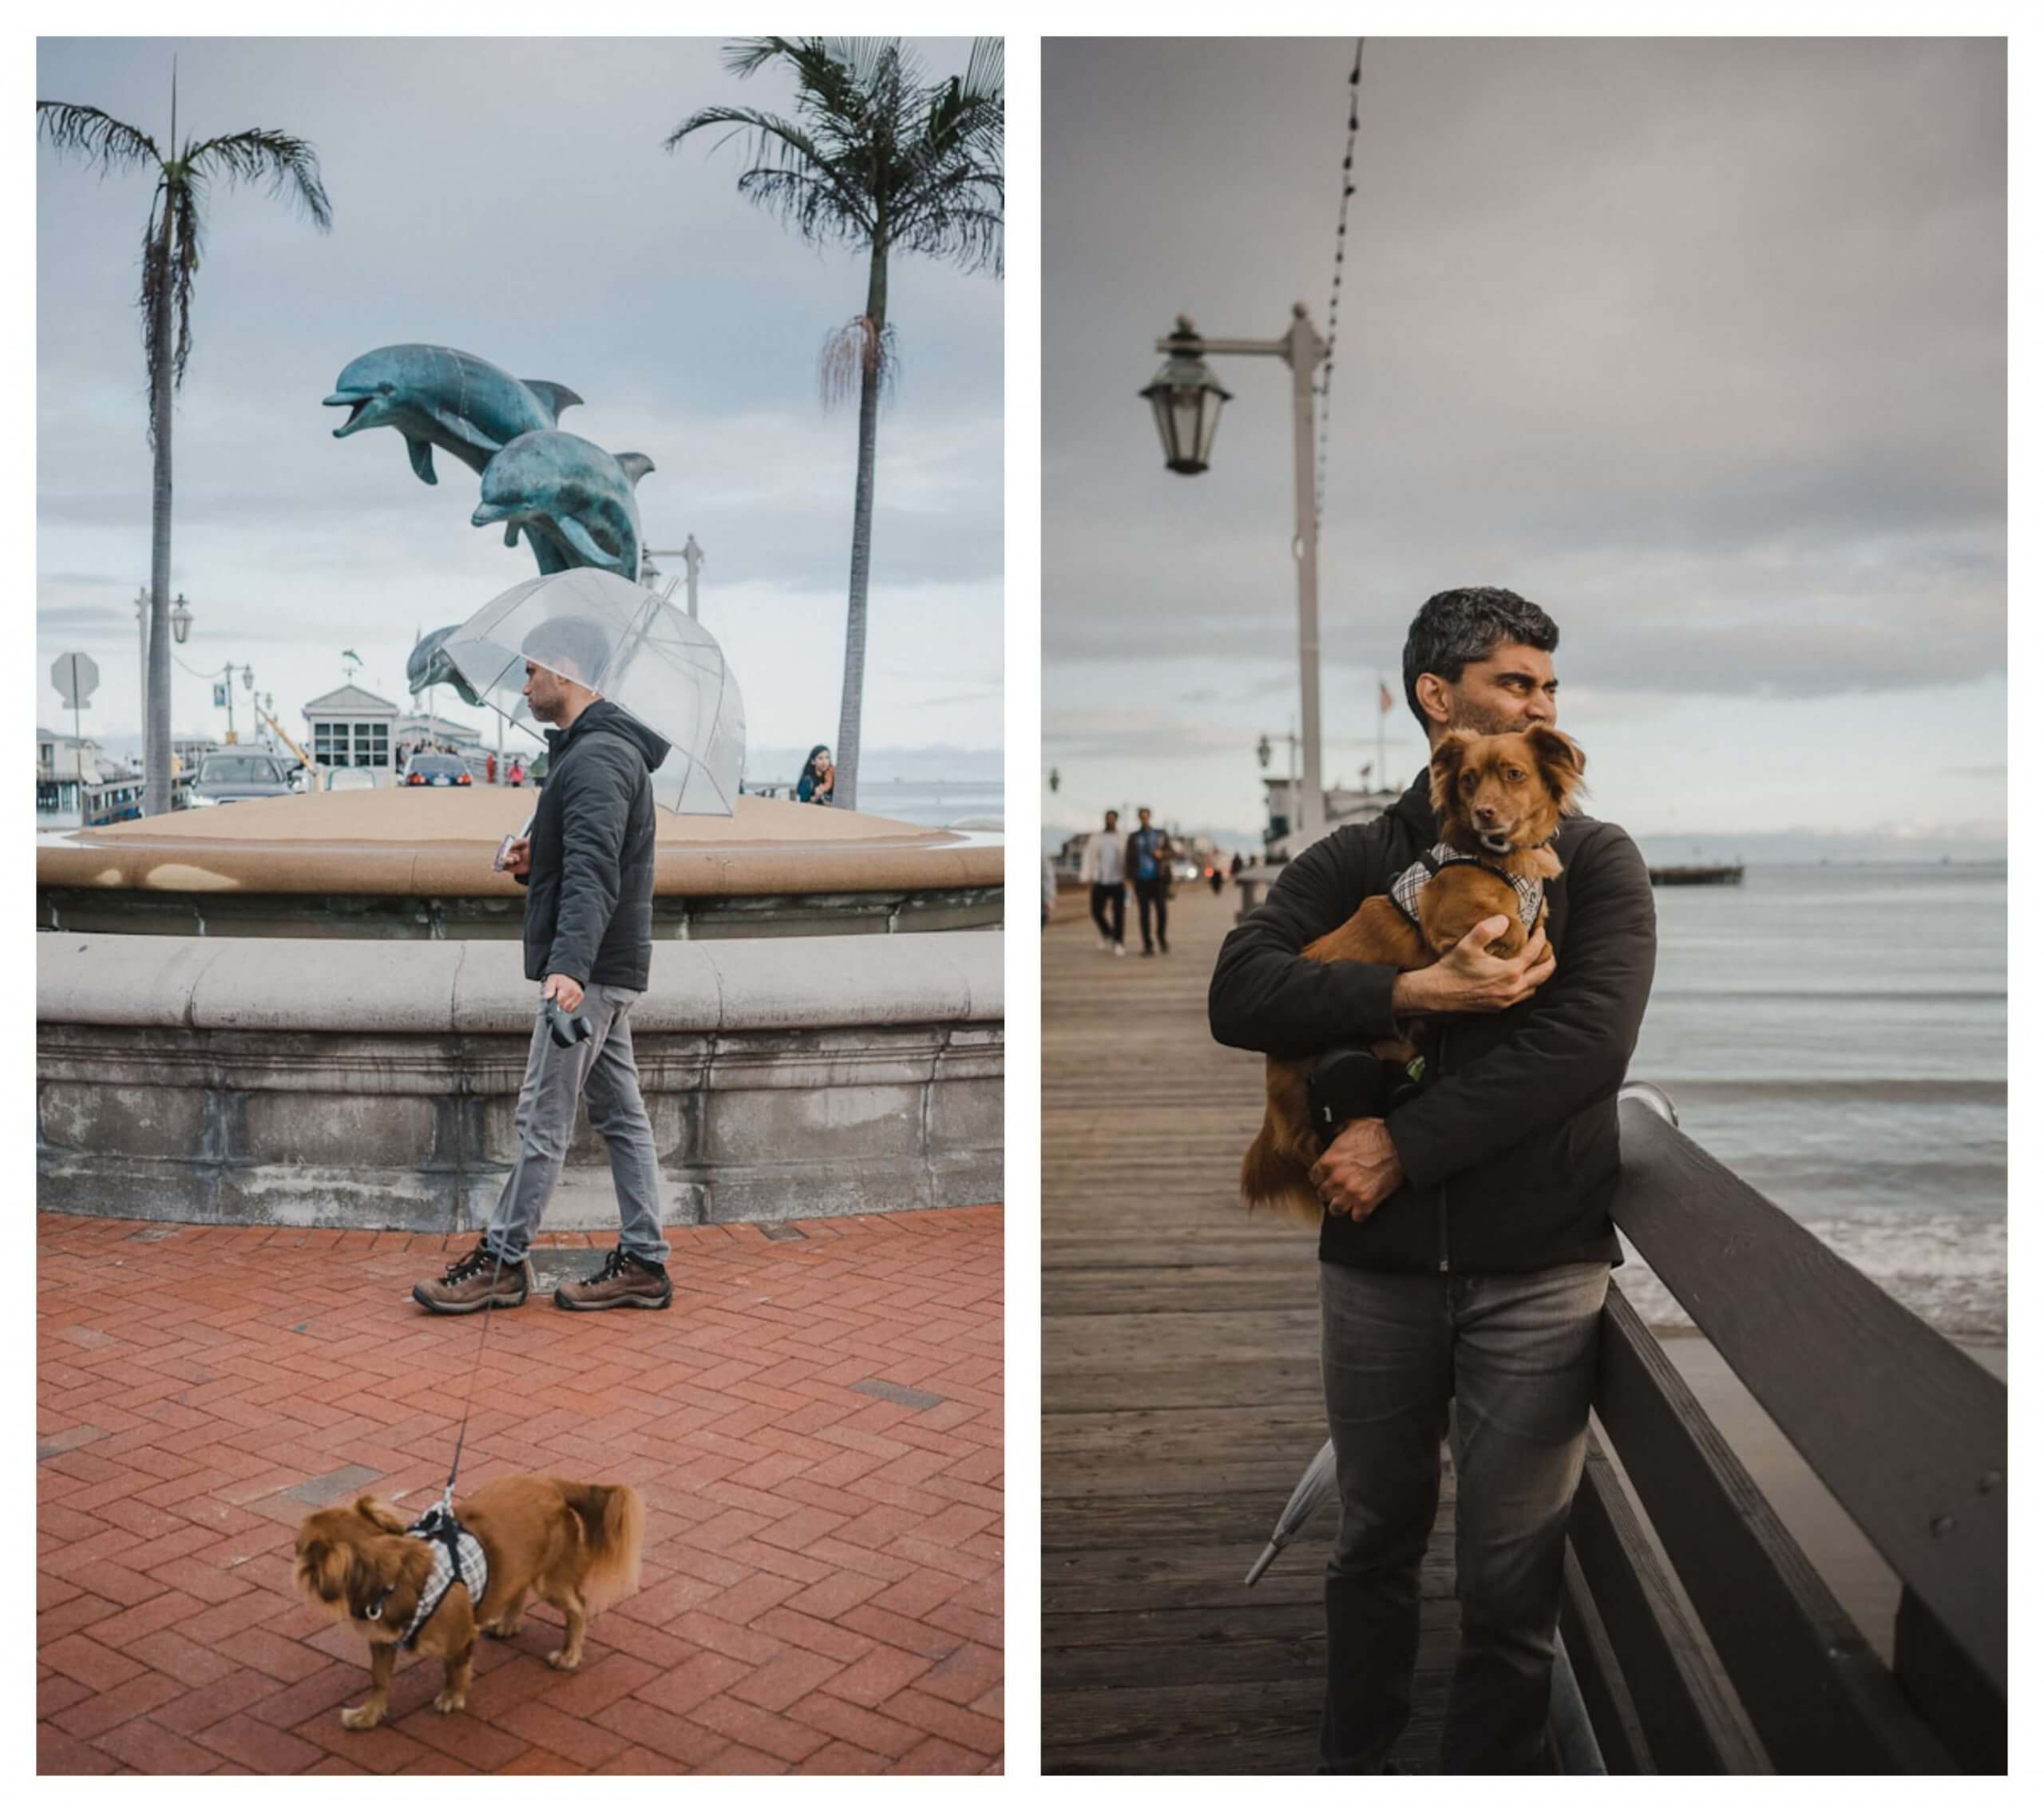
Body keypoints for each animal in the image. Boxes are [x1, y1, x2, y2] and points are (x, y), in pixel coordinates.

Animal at [292, 1470, 641, 1732]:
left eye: (300, 1548)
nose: (292, 1556)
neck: (395, 1578)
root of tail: (553, 1484)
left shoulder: (460, 1637)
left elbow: (454, 1668)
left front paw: (452, 1697)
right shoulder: (382, 1642)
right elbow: (379, 1681)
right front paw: (368, 1714)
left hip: (551, 1582)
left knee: (577, 1609)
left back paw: (570, 1654)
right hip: (520, 1562)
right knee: (517, 1588)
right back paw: (509, 1624)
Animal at [1234, 722, 1586, 1217]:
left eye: (1514, 774)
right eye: (1468, 780)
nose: (1484, 813)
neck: (1498, 856)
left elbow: (1537, 929)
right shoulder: (1448, 913)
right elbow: (1515, 926)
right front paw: (1514, 948)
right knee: (1305, 1144)